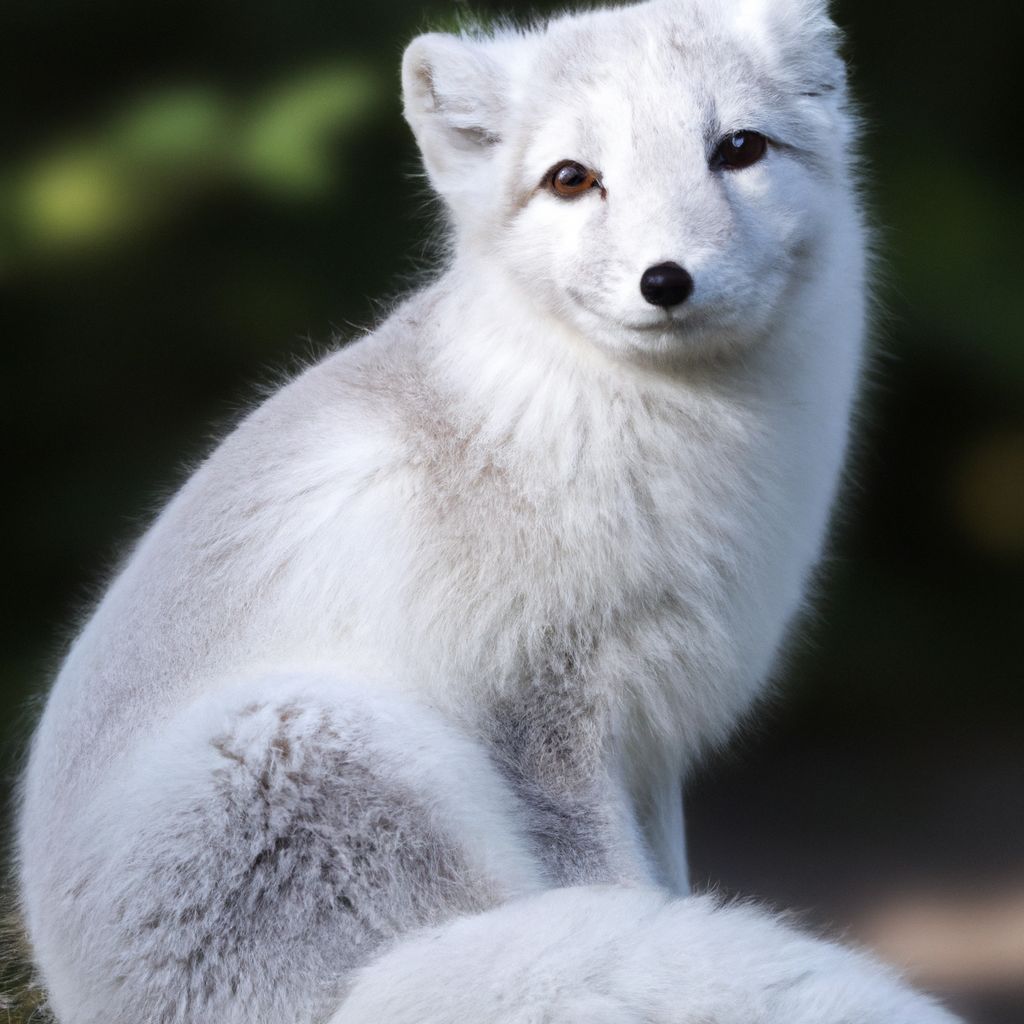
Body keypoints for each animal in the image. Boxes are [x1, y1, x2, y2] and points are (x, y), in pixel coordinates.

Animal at [14, 0, 958, 1019]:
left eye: (739, 149)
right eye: (572, 179)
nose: (667, 281)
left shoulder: (651, 737)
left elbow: (668, 885)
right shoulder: (543, 722)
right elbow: (617, 886)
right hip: (310, 739)